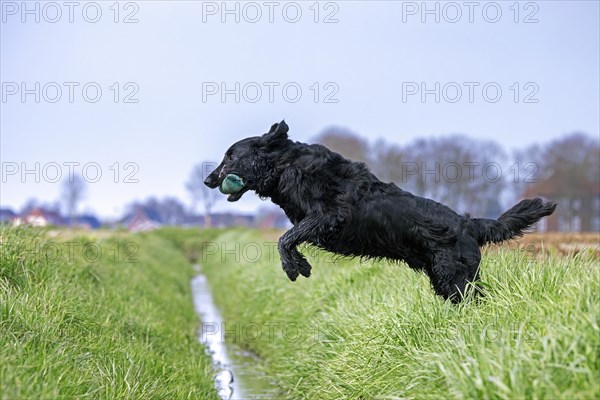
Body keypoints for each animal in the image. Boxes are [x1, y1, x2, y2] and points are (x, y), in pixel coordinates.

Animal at [204, 120, 556, 302]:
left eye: (231, 156)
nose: (208, 179)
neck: (286, 166)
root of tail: (469, 224)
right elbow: (288, 237)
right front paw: (298, 263)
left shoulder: (329, 216)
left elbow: (285, 238)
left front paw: (295, 267)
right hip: (443, 278)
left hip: (455, 276)